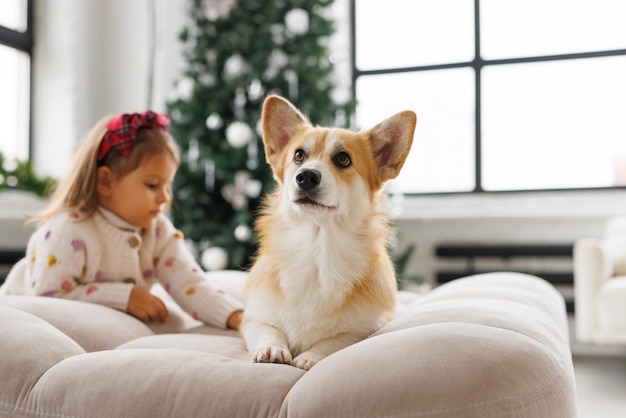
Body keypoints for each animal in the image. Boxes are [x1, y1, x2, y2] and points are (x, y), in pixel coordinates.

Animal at [241, 94, 416, 370]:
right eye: (298, 155)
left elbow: (337, 340)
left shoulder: (365, 328)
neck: (317, 245)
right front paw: (272, 349)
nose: (306, 176)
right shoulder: (253, 319)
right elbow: (267, 329)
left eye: (343, 159)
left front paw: (310, 357)